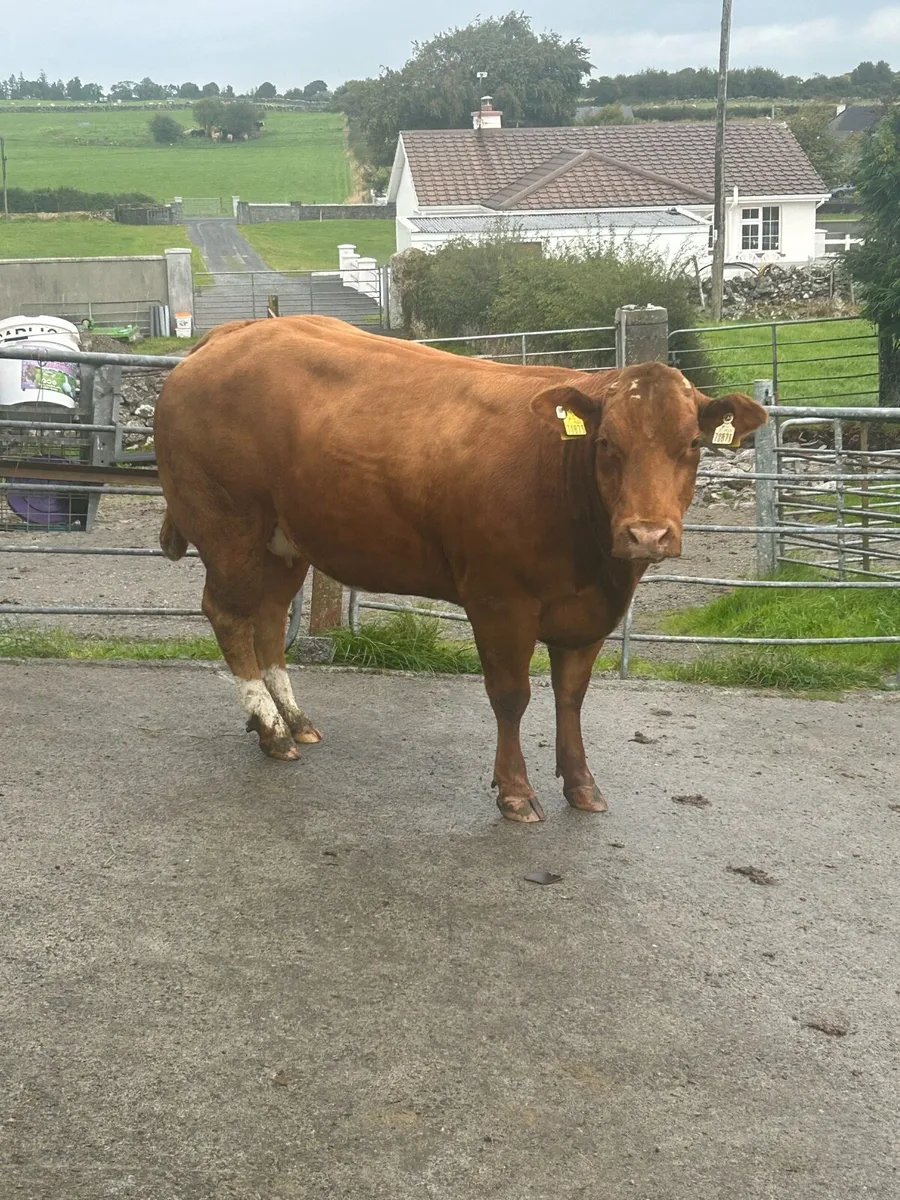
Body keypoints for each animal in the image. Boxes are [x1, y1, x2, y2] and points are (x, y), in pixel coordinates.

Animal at [154, 315, 767, 822]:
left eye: (693, 444)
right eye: (607, 443)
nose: (647, 534)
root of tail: (231, 334)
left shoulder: (589, 612)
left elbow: (570, 696)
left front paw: (582, 785)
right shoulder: (499, 600)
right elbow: (511, 695)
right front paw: (515, 791)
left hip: (284, 543)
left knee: (267, 617)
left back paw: (293, 721)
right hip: (229, 529)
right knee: (227, 615)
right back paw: (271, 727)